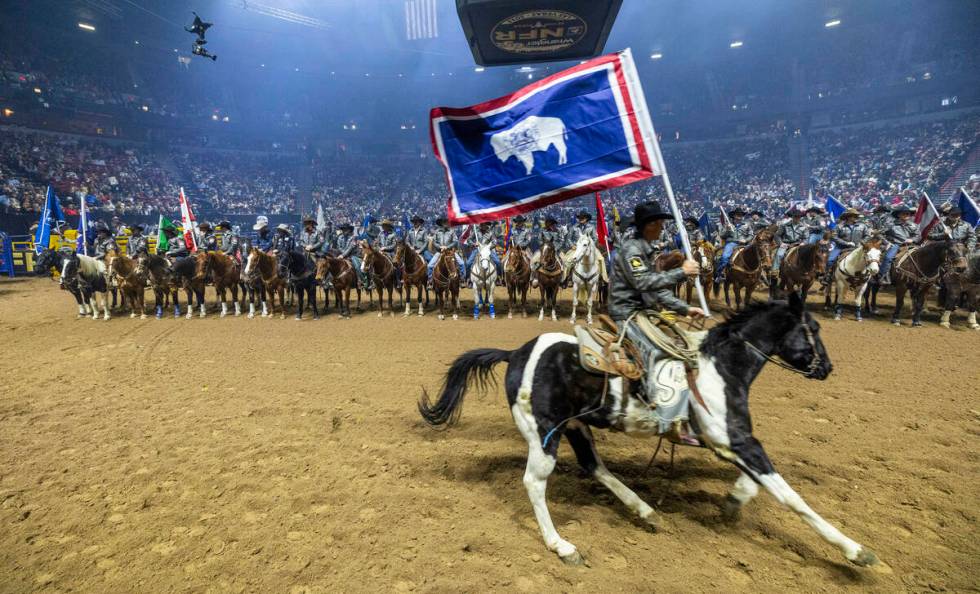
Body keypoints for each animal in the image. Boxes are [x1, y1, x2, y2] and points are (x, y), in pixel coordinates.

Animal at [420, 294, 880, 568]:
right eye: (813, 330)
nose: (826, 367)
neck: (720, 366)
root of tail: (516, 353)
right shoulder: (737, 440)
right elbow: (790, 496)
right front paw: (854, 550)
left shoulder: (728, 442)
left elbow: (756, 482)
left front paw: (733, 501)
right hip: (544, 432)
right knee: (535, 482)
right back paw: (563, 546)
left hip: (576, 427)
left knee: (594, 467)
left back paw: (643, 510)